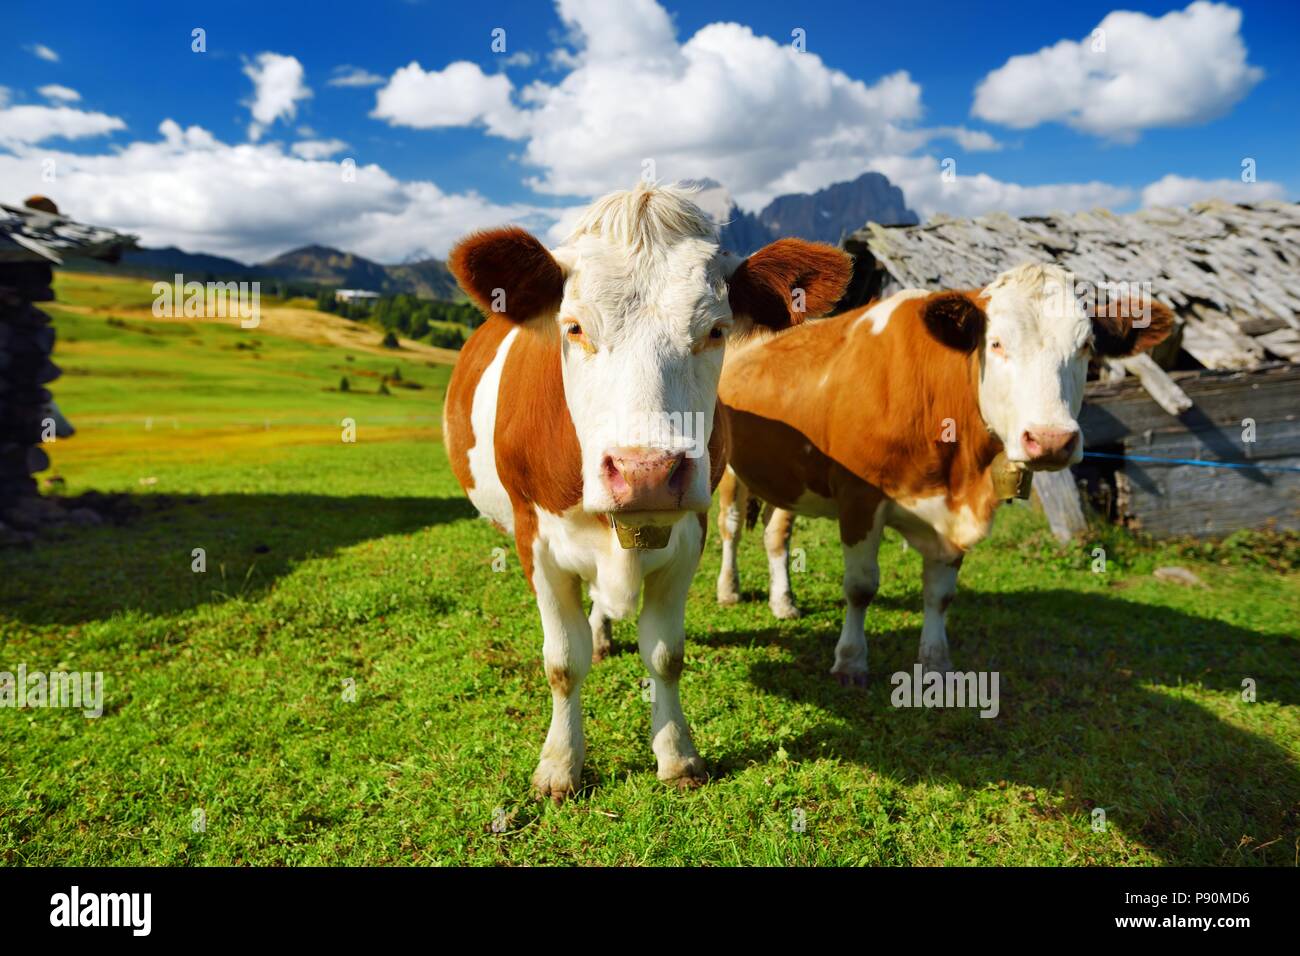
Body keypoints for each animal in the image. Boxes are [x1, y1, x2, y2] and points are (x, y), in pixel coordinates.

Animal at [444, 180, 852, 801]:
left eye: (716, 330)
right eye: (574, 327)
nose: (646, 471)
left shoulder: (688, 537)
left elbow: (665, 654)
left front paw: (677, 754)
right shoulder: (534, 539)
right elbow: (562, 661)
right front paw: (560, 765)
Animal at [717, 257, 1175, 686]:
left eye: (1085, 346)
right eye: (996, 343)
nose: (1050, 440)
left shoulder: (955, 511)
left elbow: (940, 595)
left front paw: (936, 663)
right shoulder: (858, 498)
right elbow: (861, 586)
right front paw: (850, 661)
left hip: (788, 476)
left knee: (776, 533)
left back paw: (783, 602)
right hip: (726, 471)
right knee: (732, 528)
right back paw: (729, 589)